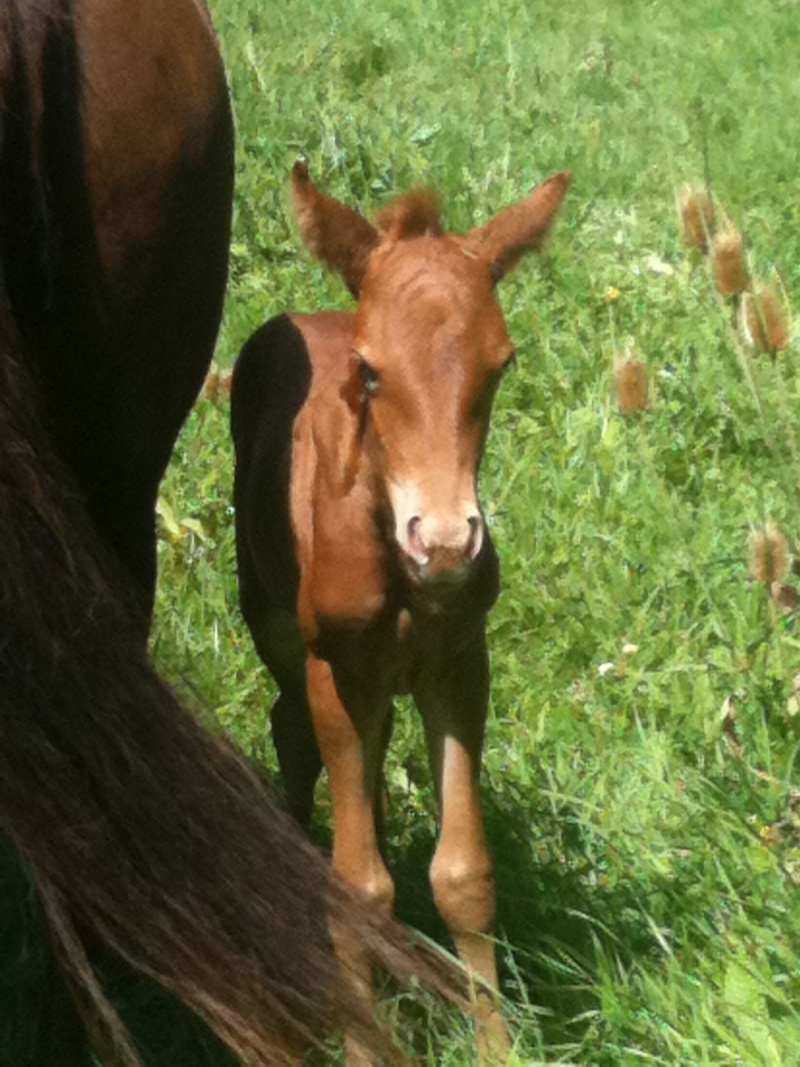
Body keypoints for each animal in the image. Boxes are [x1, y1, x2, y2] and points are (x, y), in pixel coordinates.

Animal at [231, 157, 571, 1058]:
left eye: (501, 365)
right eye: (370, 370)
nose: (447, 543)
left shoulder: (460, 663)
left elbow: (464, 874)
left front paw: (495, 1047)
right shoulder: (337, 670)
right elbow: (357, 887)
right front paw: (363, 1042)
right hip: (275, 622)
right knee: (289, 726)